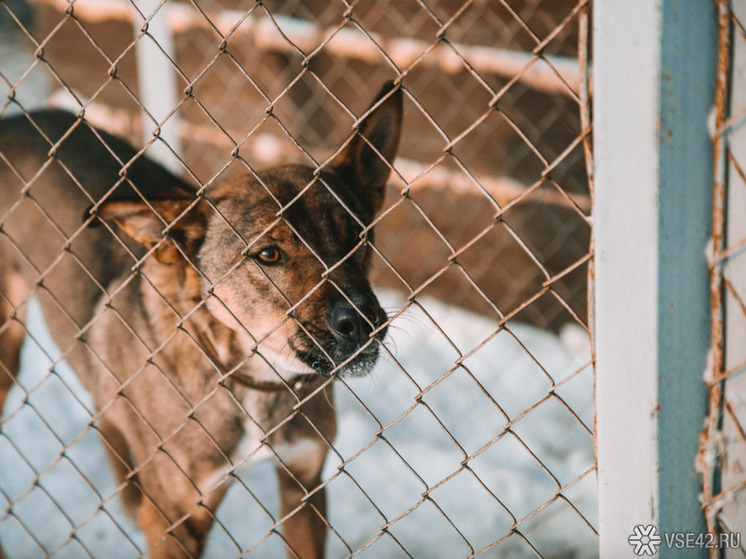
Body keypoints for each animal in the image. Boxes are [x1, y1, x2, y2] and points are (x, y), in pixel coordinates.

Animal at [0, 81, 402, 556]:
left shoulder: (303, 488)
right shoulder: (176, 522)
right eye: (269, 254)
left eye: (358, 234)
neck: (255, 381)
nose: (362, 321)